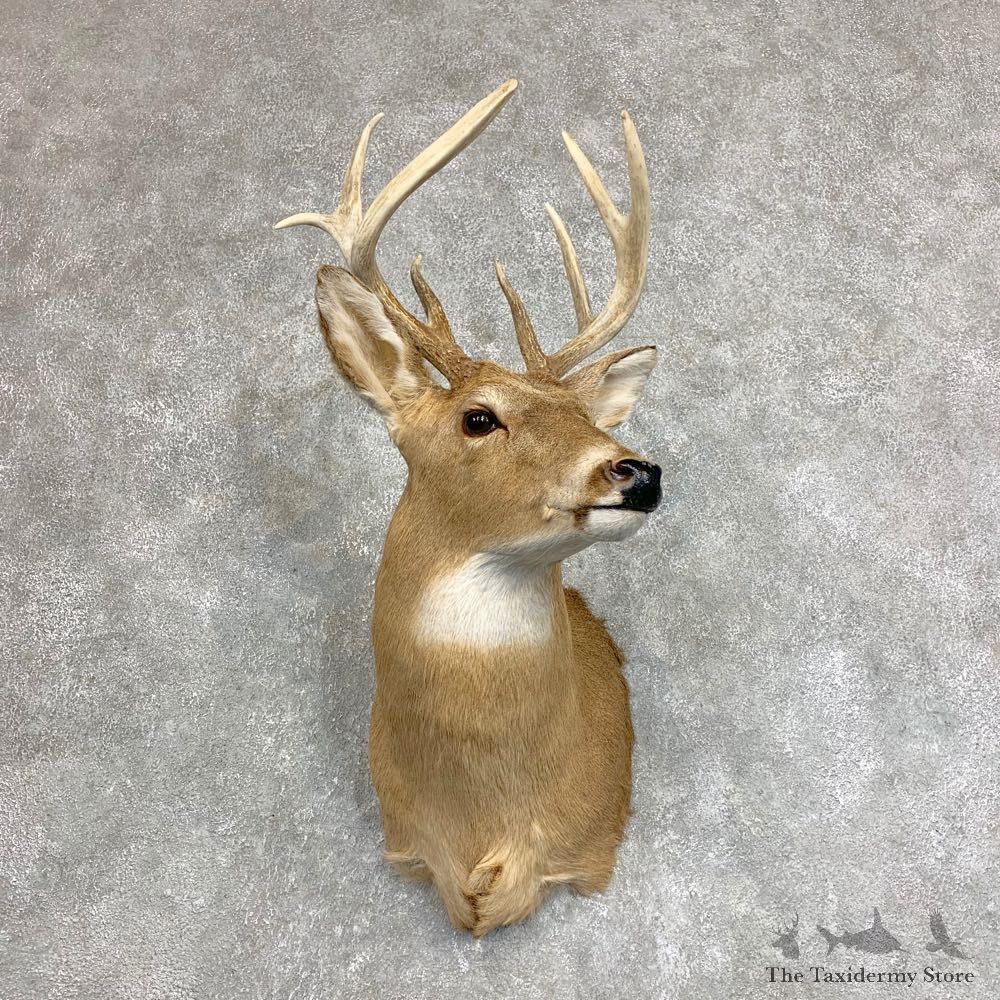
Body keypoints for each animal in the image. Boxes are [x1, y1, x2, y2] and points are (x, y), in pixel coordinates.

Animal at [275, 79, 661, 937]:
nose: (638, 471)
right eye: (478, 418)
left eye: (589, 418)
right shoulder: (405, 845)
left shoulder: (592, 852)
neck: (486, 823)